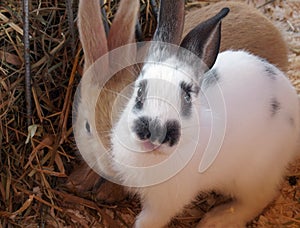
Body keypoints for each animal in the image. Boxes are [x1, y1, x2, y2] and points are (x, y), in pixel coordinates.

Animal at [110, 5, 300, 228]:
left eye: (187, 97)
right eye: (139, 90)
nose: (155, 132)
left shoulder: (163, 205)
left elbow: (148, 221)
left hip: (252, 175)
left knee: (260, 199)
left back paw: (217, 219)